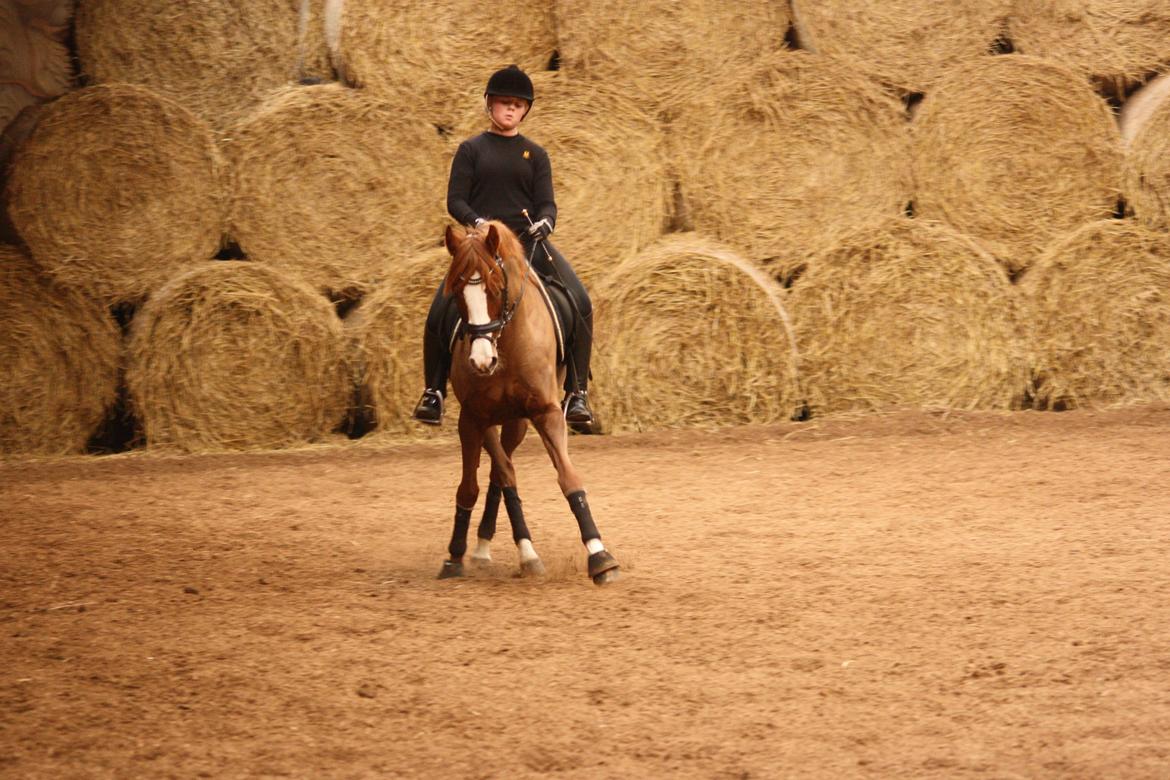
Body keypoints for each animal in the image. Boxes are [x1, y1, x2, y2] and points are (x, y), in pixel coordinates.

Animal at [435, 220, 620, 586]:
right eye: (458, 291)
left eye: (496, 288)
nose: (481, 361)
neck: (506, 344)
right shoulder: (472, 418)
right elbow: (474, 485)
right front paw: (454, 555)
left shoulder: (545, 412)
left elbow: (568, 478)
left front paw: (599, 555)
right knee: (501, 473)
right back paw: (498, 549)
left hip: (518, 422)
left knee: (499, 473)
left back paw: (494, 547)